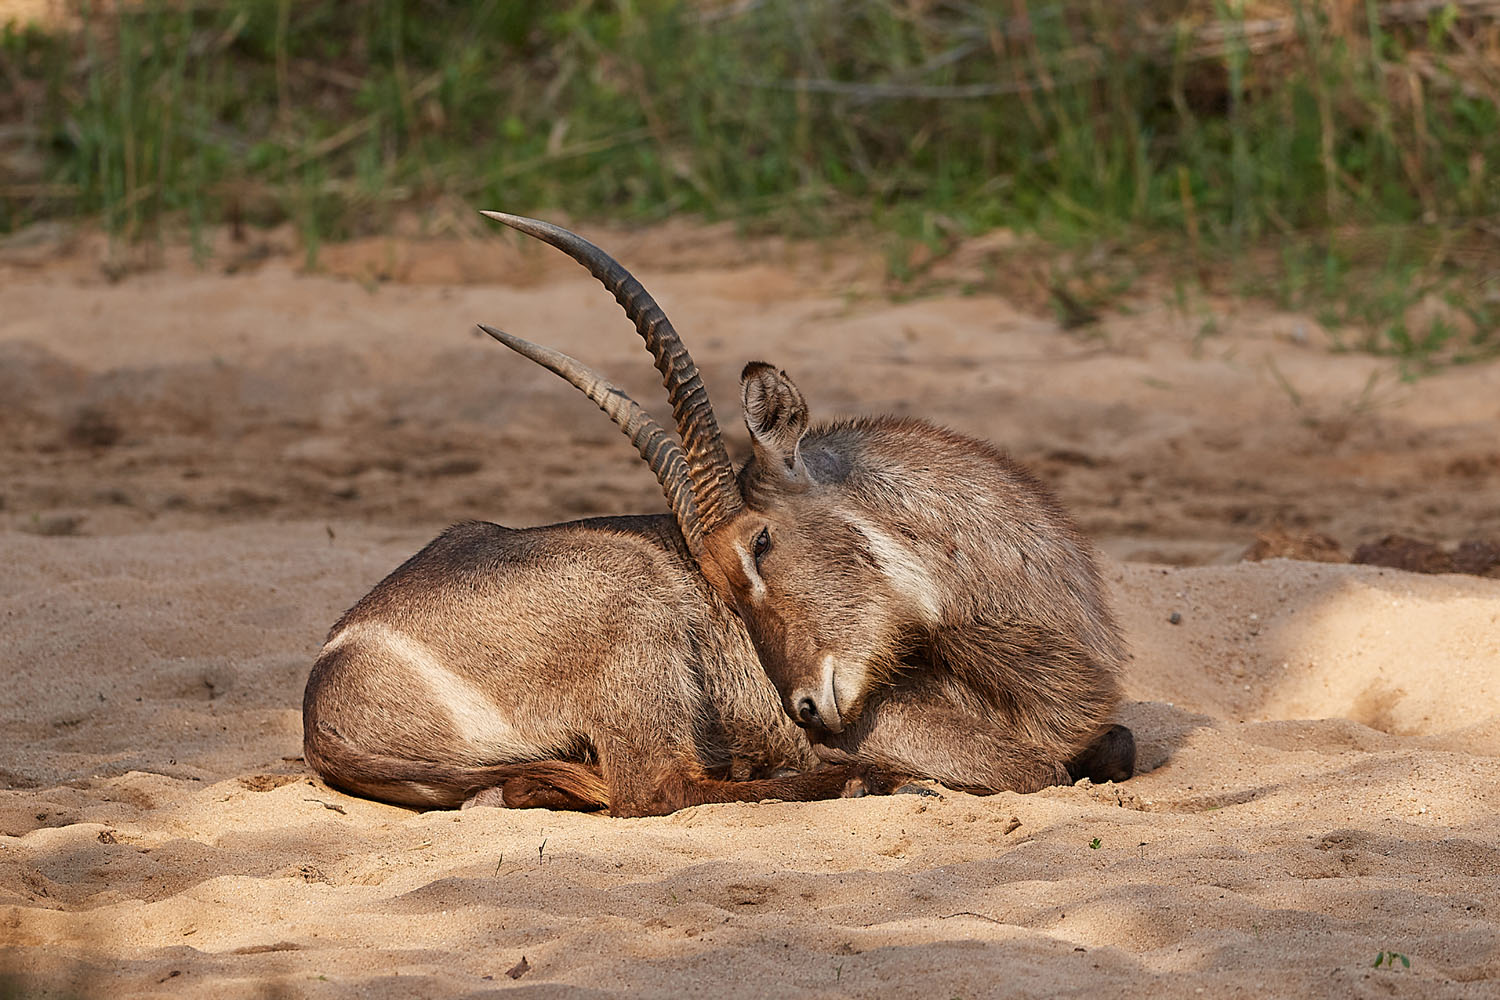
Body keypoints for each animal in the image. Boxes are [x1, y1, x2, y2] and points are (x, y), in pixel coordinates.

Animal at [298, 211, 1128, 815]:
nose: (806, 711)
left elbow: (1115, 743)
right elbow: (1040, 770)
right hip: (634, 622)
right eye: (723, 575)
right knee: (654, 790)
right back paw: (866, 782)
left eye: (761, 541)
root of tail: (328, 687)